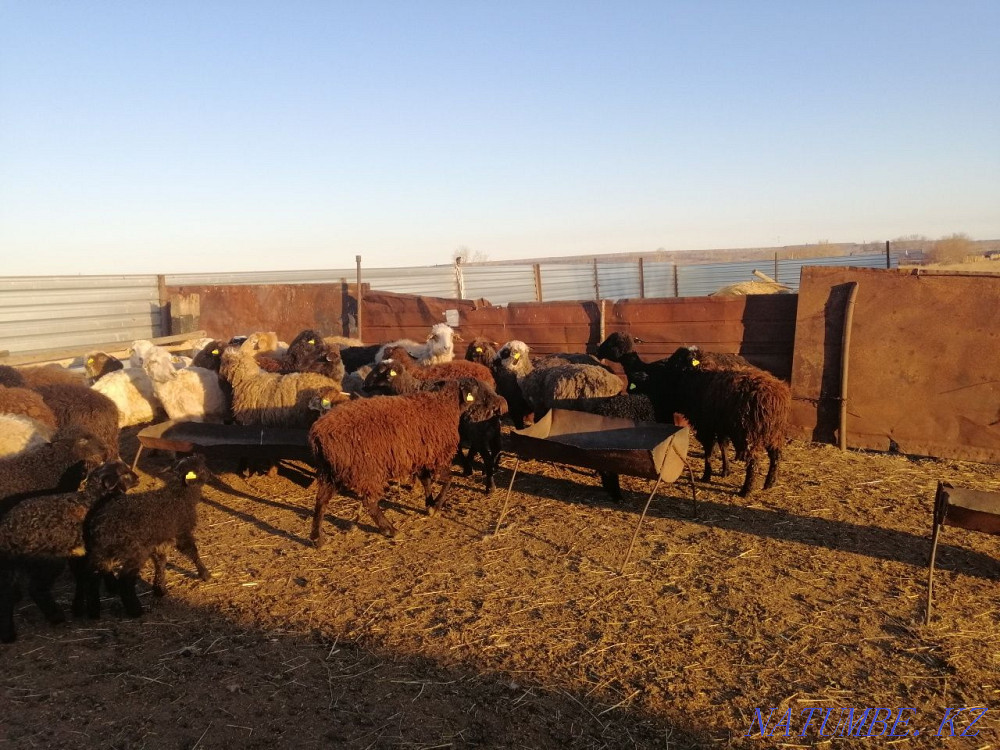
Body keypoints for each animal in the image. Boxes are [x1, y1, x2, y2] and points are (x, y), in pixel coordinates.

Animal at [0, 461, 138, 642]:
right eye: (125, 473)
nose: (138, 478)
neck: (92, 499)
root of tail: (7, 528)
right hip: (47, 559)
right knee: (36, 589)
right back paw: (56, 616)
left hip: (11, 562)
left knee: (6, 593)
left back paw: (8, 633)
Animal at [81, 454, 212, 618]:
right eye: (201, 468)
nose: (210, 475)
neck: (179, 496)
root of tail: (101, 526)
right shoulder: (182, 532)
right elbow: (192, 552)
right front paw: (204, 573)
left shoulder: (159, 541)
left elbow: (160, 563)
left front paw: (160, 588)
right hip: (135, 551)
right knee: (125, 579)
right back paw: (135, 610)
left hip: (100, 552)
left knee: (92, 578)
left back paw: (93, 610)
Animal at [308, 377, 492, 545]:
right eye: (476, 386)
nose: (490, 400)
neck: (444, 404)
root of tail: (318, 434)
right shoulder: (437, 456)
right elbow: (448, 480)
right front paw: (436, 506)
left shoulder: (421, 457)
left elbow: (426, 481)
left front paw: (429, 504)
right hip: (367, 470)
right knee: (370, 502)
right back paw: (390, 530)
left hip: (330, 472)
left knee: (321, 501)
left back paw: (317, 538)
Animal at [363, 361, 508, 493]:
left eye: (380, 372)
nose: (364, 385)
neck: (411, 388)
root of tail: (495, 399)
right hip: (492, 429)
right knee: (496, 448)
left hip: (477, 431)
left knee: (487, 457)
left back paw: (490, 487)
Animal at [631, 347, 790, 497]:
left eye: (676, 364)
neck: (696, 376)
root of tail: (773, 396)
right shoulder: (720, 426)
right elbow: (723, 446)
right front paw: (725, 471)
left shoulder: (705, 426)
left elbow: (708, 451)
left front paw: (706, 475)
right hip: (774, 432)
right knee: (775, 456)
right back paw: (770, 482)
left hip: (750, 434)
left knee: (753, 462)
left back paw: (746, 490)